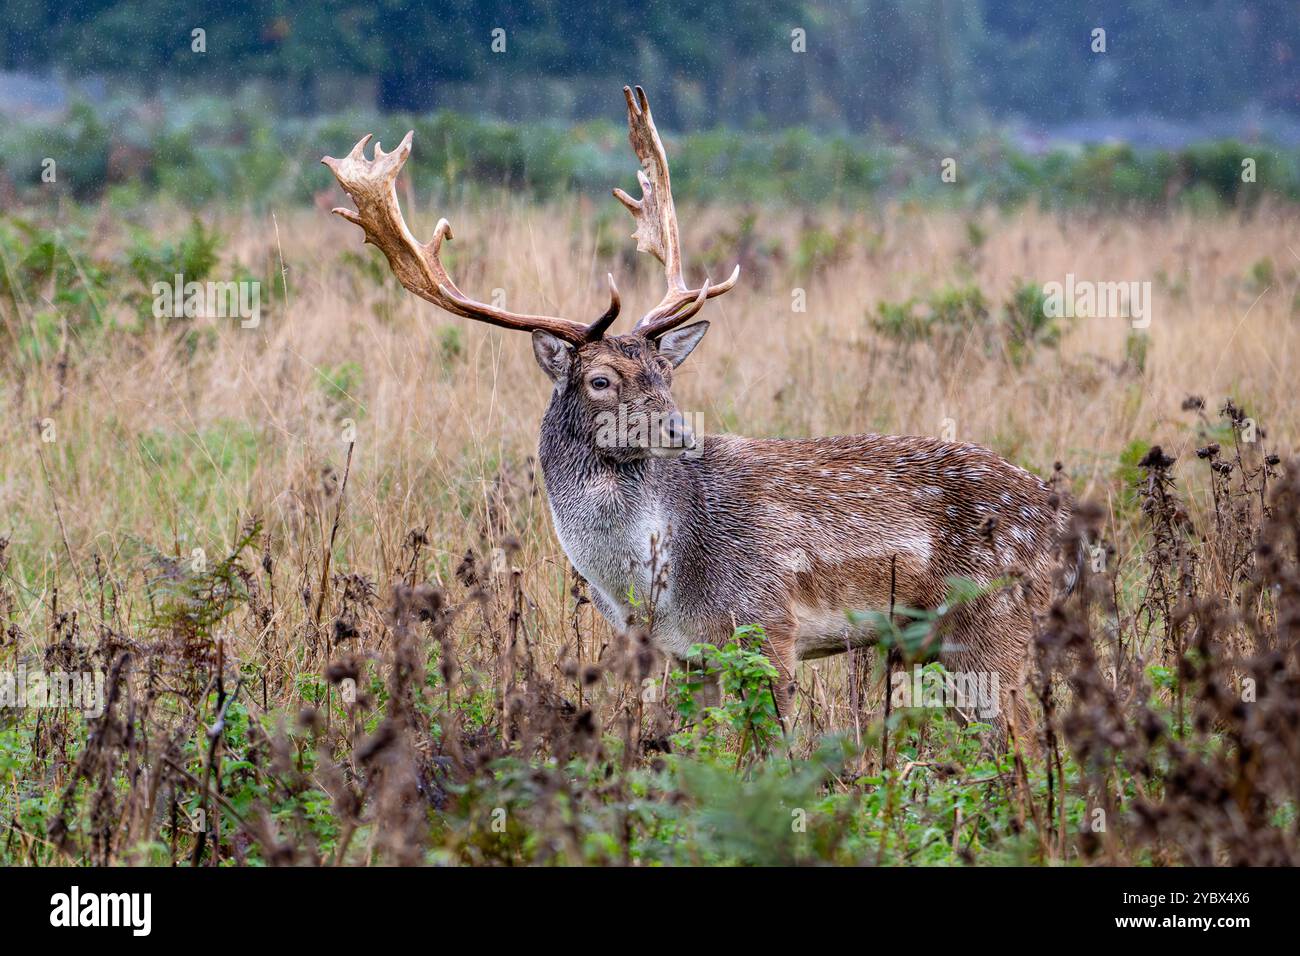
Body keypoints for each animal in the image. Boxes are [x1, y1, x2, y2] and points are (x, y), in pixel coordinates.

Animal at [323, 85, 1072, 746]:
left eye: (666, 374)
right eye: (600, 379)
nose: (679, 431)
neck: (653, 582)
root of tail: (1063, 522)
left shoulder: (767, 624)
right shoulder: (684, 655)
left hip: (992, 628)